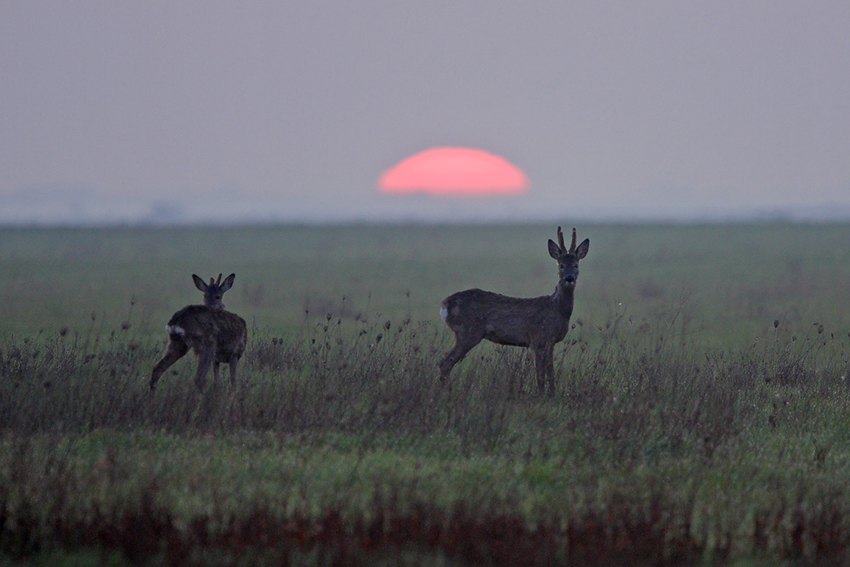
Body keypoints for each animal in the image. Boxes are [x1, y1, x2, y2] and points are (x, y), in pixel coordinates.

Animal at [438, 226, 588, 394]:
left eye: (576, 265)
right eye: (560, 265)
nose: (569, 278)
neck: (557, 310)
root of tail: (444, 305)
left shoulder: (550, 343)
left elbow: (551, 374)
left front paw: (552, 395)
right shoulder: (539, 339)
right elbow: (540, 376)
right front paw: (541, 395)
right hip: (468, 332)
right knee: (445, 362)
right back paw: (447, 392)